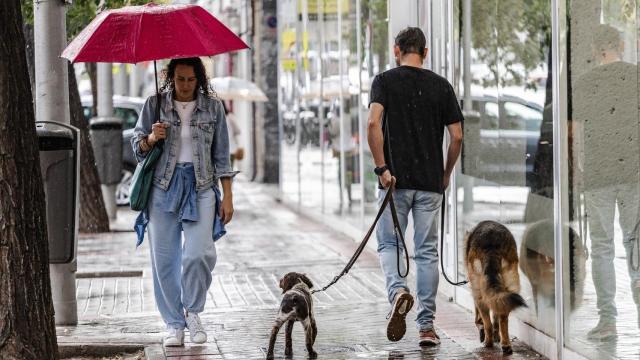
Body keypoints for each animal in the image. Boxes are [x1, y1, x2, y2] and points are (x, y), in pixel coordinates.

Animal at [464, 219, 524, 354]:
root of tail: (491, 245)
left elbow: (480, 318)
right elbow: (496, 317)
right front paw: (498, 336)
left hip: (479, 294)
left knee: (488, 324)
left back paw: (488, 342)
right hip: (510, 284)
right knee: (502, 318)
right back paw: (505, 345)